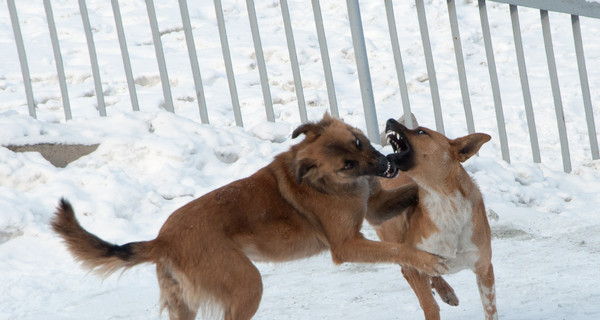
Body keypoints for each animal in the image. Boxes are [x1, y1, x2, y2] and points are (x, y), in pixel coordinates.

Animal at [50, 114, 446, 320]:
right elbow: (398, 251)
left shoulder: (376, 206)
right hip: (246, 284)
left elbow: (410, 193)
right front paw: (426, 259)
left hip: (186, 305)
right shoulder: (346, 245)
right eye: (347, 164)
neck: (324, 181)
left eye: (359, 141)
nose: (386, 164)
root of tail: (163, 240)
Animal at [372, 119, 494, 320]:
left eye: (421, 131)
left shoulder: (483, 267)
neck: (443, 200)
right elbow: (429, 305)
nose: (390, 120)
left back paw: (446, 291)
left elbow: (490, 309)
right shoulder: (413, 264)